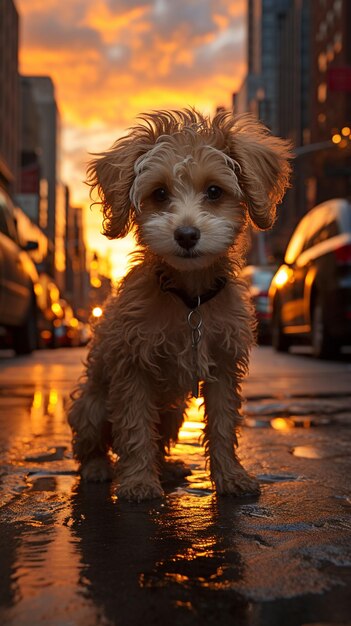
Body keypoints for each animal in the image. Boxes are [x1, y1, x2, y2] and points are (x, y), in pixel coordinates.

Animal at [68, 107, 292, 498]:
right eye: (159, 193)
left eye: (214, 191)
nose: (186, 235)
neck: (190, 299)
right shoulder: (132, 367)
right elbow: (135, 427)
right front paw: (138, 482)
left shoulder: (223, 364)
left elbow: (222, 424)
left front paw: (231, 476)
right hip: (92, 407)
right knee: (93, 444)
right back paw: (99, 468)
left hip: (172, 413)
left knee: (159, 439)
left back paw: (167, 467)